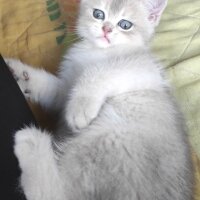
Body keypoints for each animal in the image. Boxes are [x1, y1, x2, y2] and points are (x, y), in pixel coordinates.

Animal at [5, 0, 194, 199]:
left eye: (125, 24)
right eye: (98, 14)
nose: (106, 29)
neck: (97, 51)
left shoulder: (144, 68)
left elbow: (98, 71)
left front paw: (79, 109)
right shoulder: (65, 91)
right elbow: (52, 89)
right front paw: (19, 74)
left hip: (112, 138)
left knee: (54, 193)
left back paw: (30, 140)